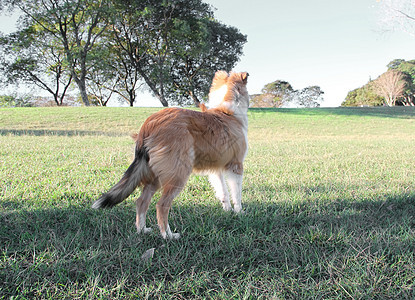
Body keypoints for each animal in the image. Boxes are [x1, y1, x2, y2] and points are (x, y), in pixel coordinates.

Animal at [93, 70, 250, 239]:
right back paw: (168, 235)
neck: (227, 111)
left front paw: (227, 211)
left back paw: (142, 230)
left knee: (141, 201)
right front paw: (239, 212)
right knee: (161, 205)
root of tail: (149, 124)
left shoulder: (216, 169)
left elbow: (223, 193)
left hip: (155, 175)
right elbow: (236, 193)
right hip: (178, 173)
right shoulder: (235, 166)